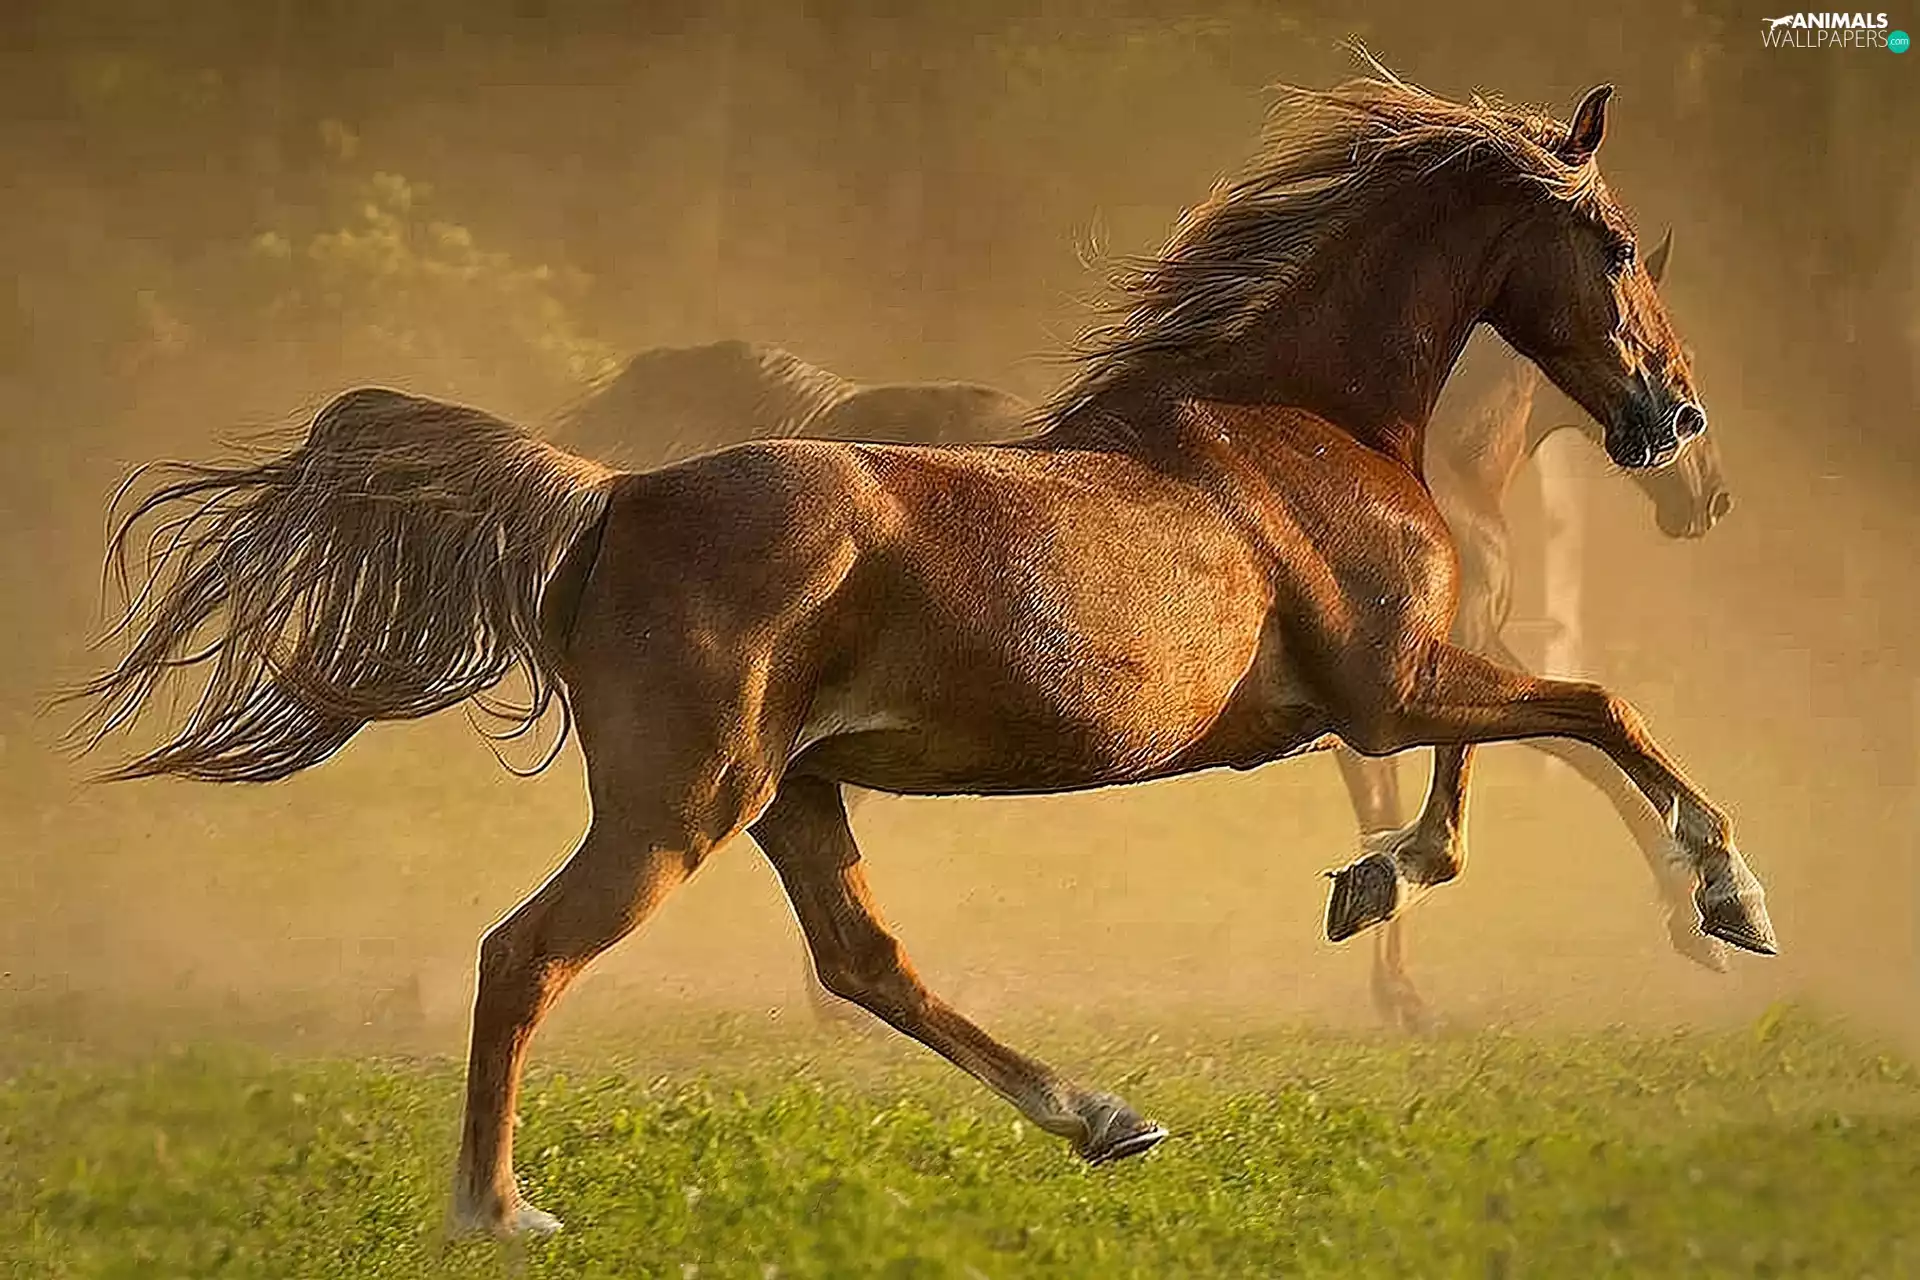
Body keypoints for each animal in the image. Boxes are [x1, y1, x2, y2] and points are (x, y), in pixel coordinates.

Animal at [68, 70, 1776, 1239]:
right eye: (1613, 243)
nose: (1679, 427)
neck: (1294, 415)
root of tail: (608, 500)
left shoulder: (1387, 688)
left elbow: (1504, 753)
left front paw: (1377, 893)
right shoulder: (1388, 678)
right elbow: (1589, 712)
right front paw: (1726, 902)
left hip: (792, 796)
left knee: (864, 960)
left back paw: (1103, 1117)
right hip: (681, 809)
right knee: (526, 955)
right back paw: (497, 1211)